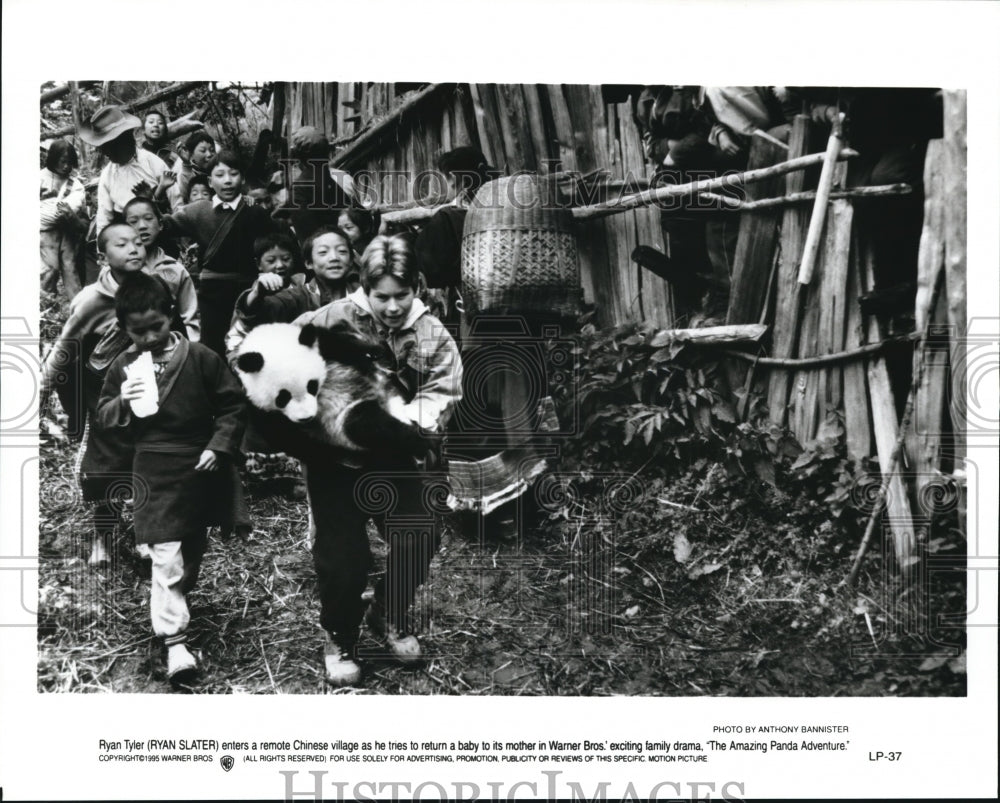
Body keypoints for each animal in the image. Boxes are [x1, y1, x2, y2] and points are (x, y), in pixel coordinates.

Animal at [234, 321, 431, 465]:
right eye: (283, 397)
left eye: (311, 385)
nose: (306, 418)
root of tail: (385, 400)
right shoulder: (263, 412)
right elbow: (291, 439)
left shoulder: (321, 342)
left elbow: (345, 345)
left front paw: (373, 353)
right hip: (348, 417)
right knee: (369, 426)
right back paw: (420, 442)